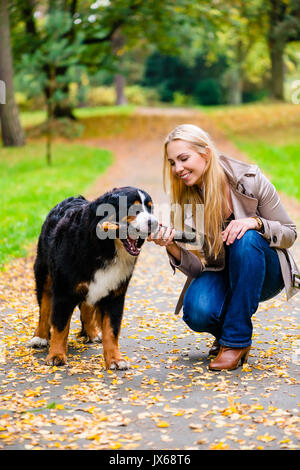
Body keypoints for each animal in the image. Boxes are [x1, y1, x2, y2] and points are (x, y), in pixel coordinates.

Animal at [29, 185, 158, 370]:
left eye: (150, 208)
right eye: (133, 209)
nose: (153, 223)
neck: (105, 248)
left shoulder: (115, 295)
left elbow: (111, 330)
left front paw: (115, 359)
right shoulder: (63, 291)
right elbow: (60, 326)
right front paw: (56, 355)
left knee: (87, 307)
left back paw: (91, 332)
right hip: (44, 275)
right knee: (45, 307)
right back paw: (40, 337)